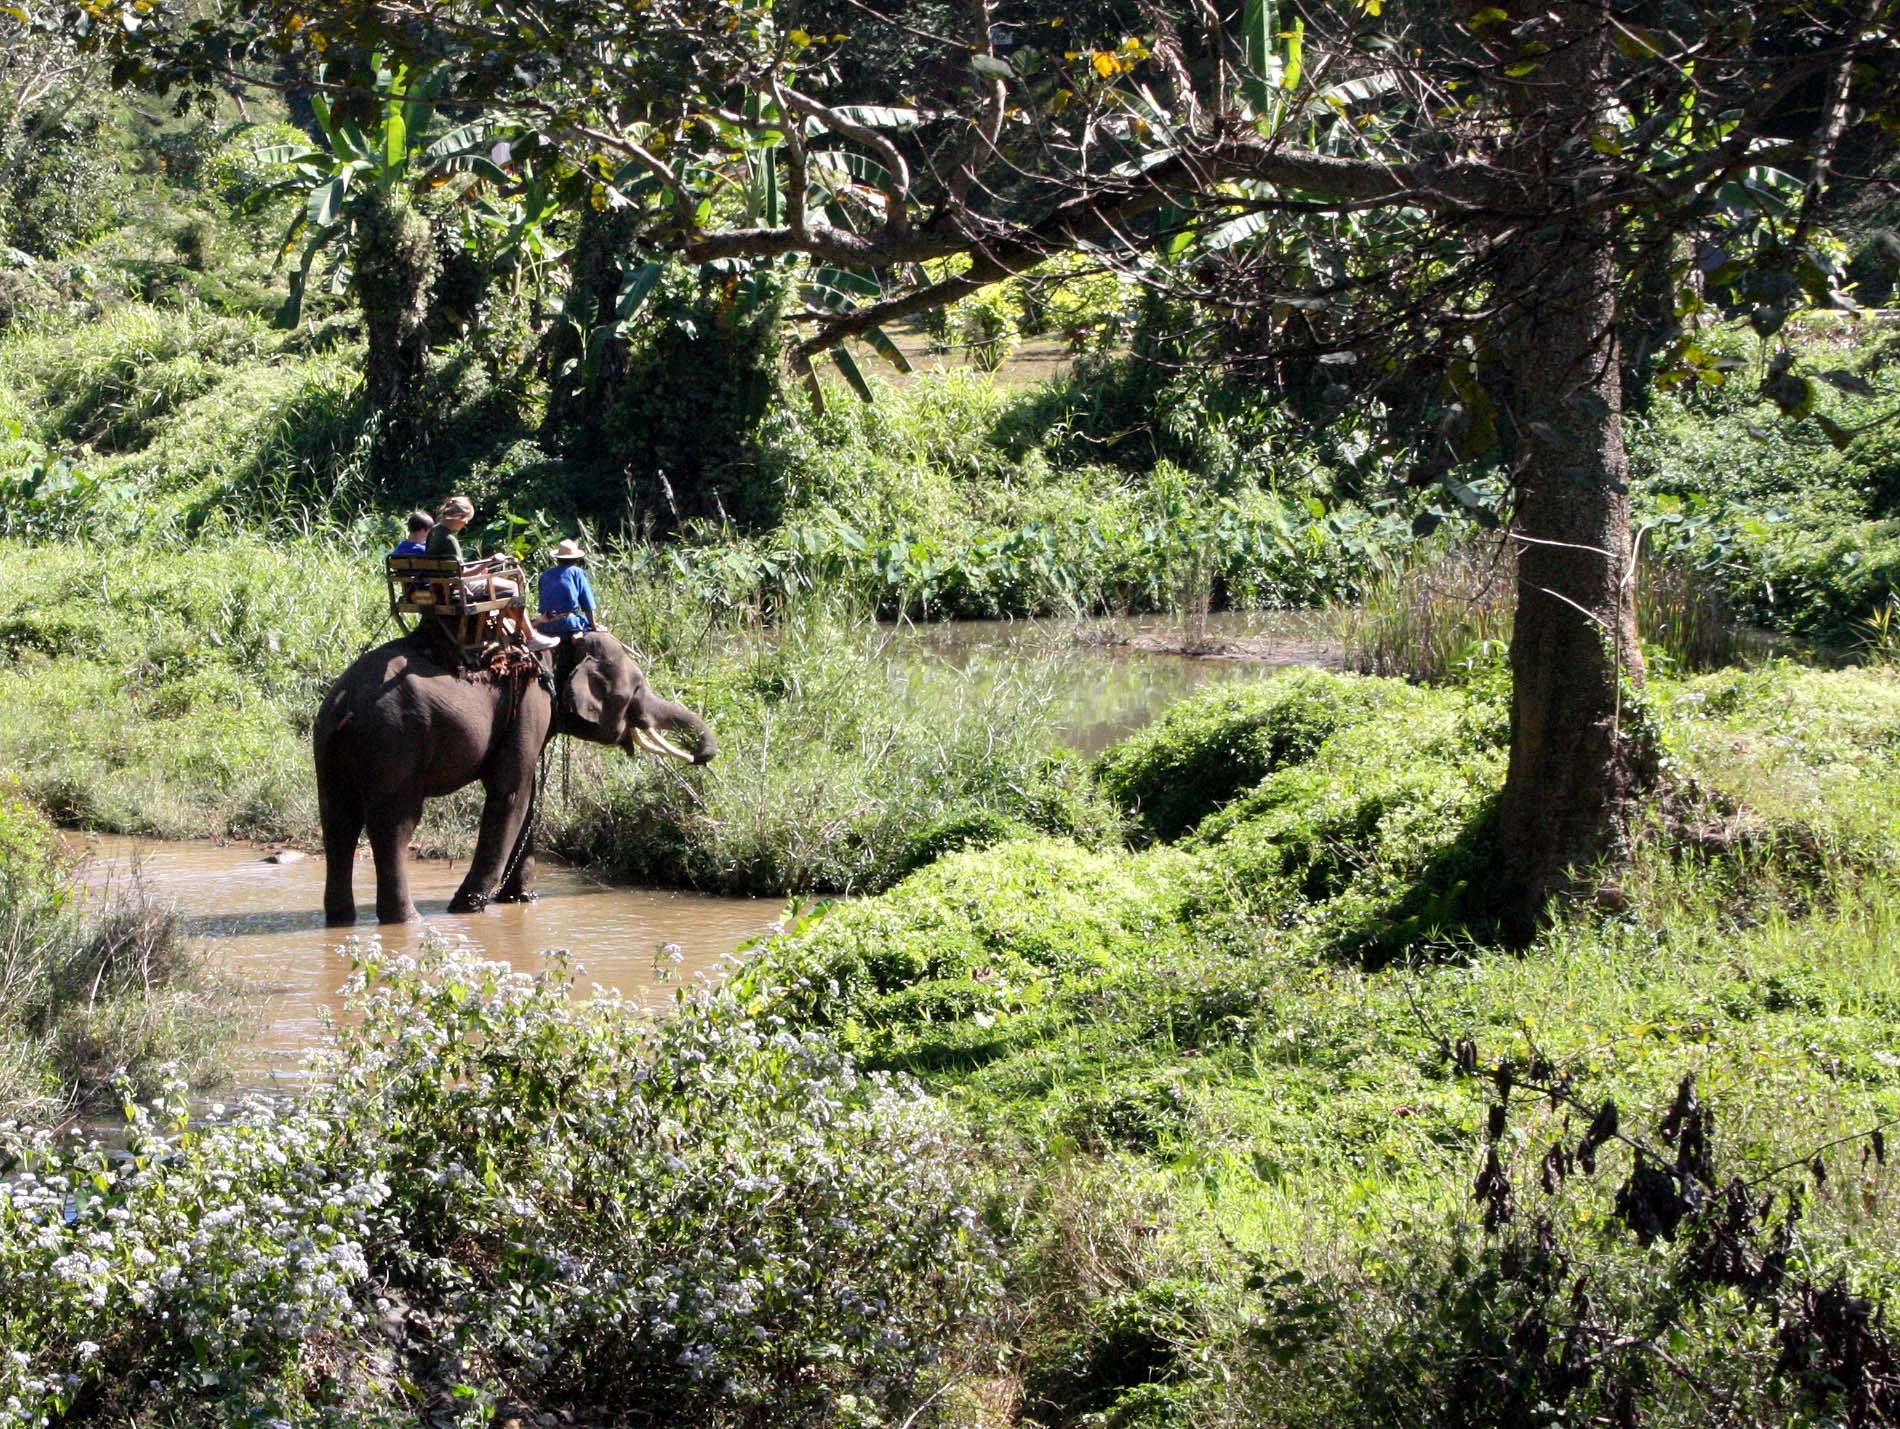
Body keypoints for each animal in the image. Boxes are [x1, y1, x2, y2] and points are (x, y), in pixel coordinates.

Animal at [314, 630, 715, 925]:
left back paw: (341, 920)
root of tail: (344, 702)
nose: (702, 756)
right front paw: (468, 907)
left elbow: (528, 796)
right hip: (394, 741)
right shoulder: (530, 701)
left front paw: (521, 899)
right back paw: (407, 921)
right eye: (637, 689)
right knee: (395, 824)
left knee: (338, 822)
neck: (556, 643)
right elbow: (511, 792)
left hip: (330, 749)